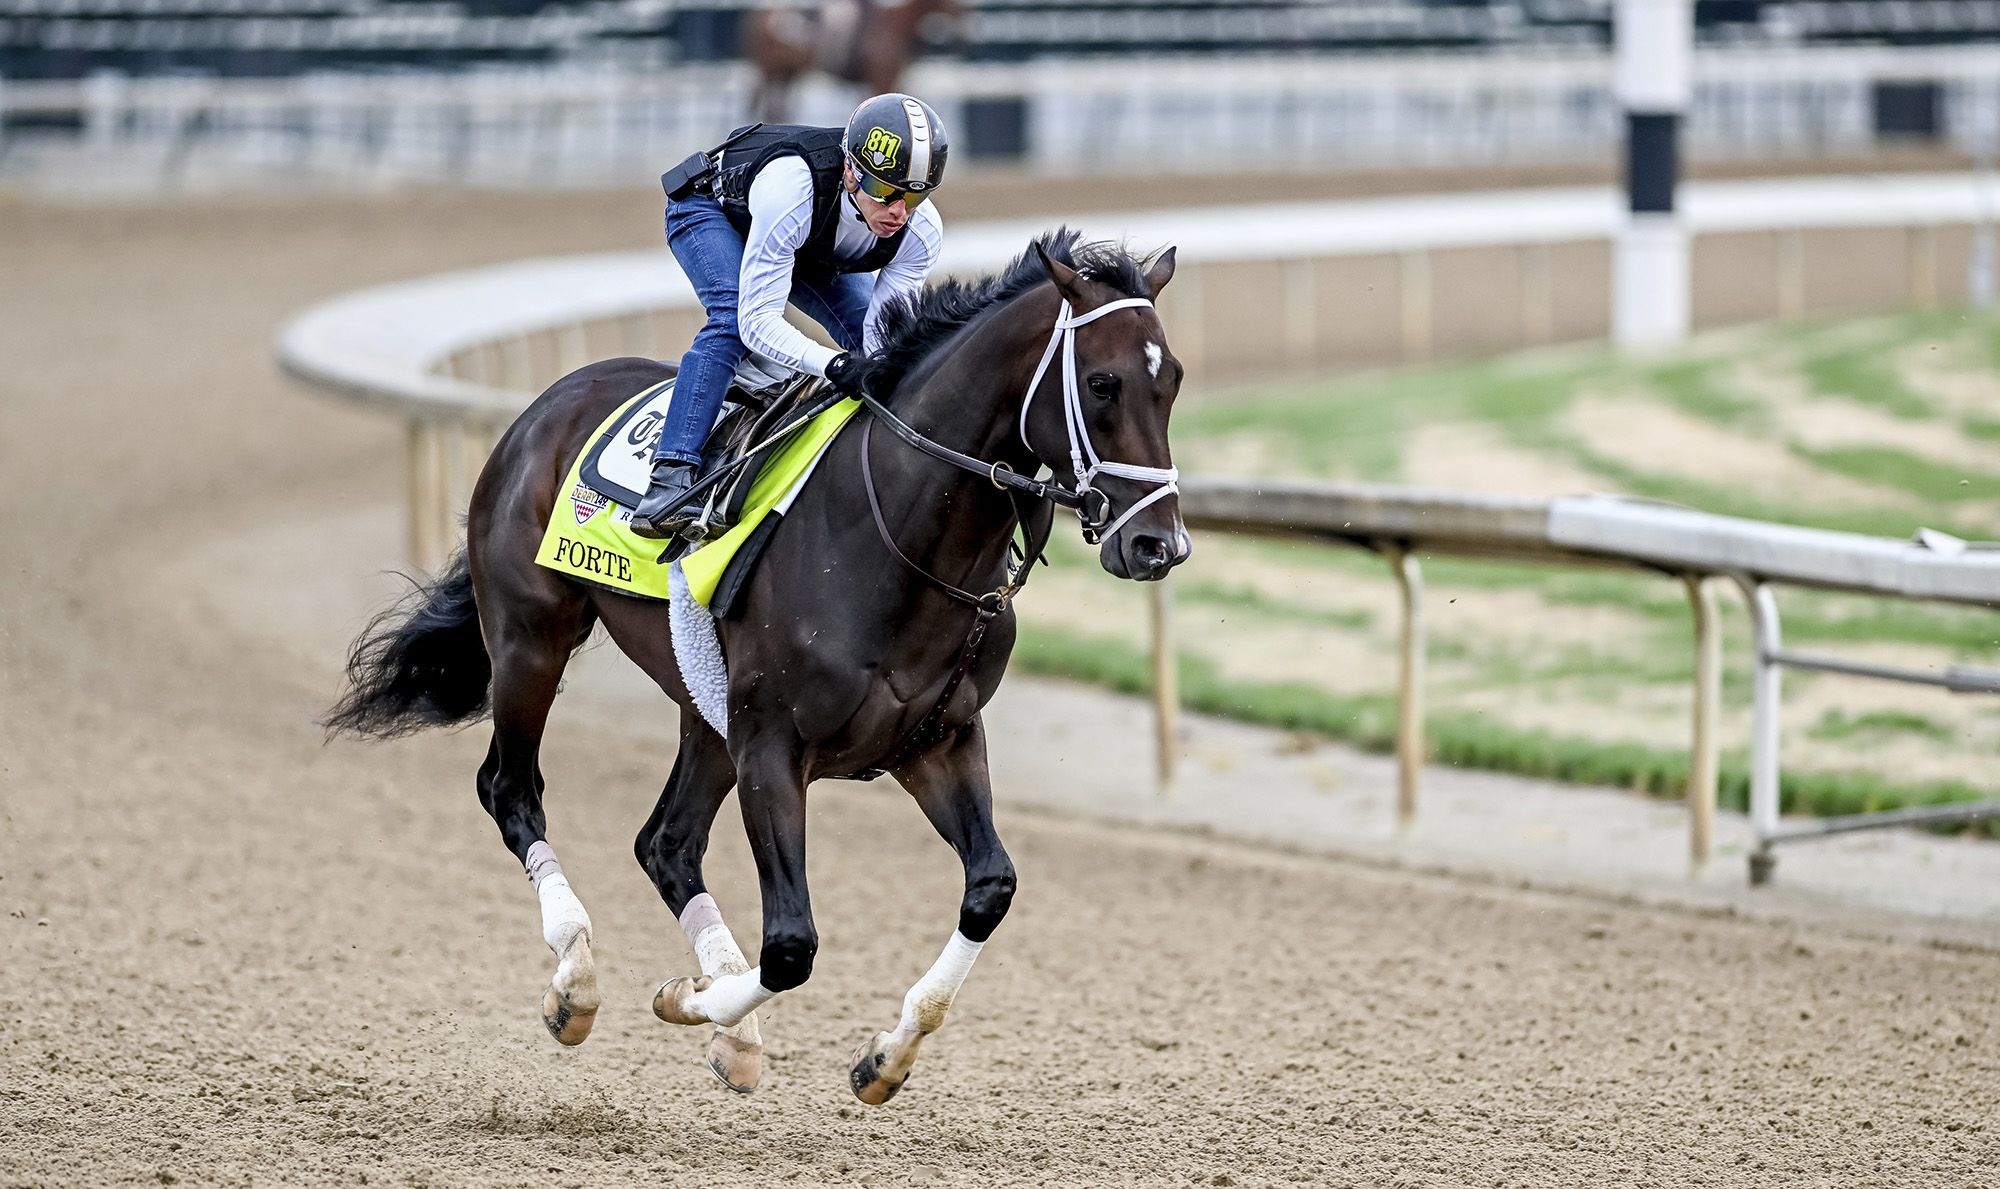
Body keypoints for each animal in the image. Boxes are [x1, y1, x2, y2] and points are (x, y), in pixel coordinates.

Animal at [328, 231, 1184, 1104]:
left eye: (1173, 379)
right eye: (1103, 382)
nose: (1160, 545)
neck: (896, 537)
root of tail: (544, 406)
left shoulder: (935, 740)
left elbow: (989, 888)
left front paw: (883, 1054)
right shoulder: (772, 746)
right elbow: (792, 945)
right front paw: (689, 1002)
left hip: (705, 706)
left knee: (665, 842)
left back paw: (724, 1025)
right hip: (533, 639)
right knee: (511, 788)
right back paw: (577, 980)